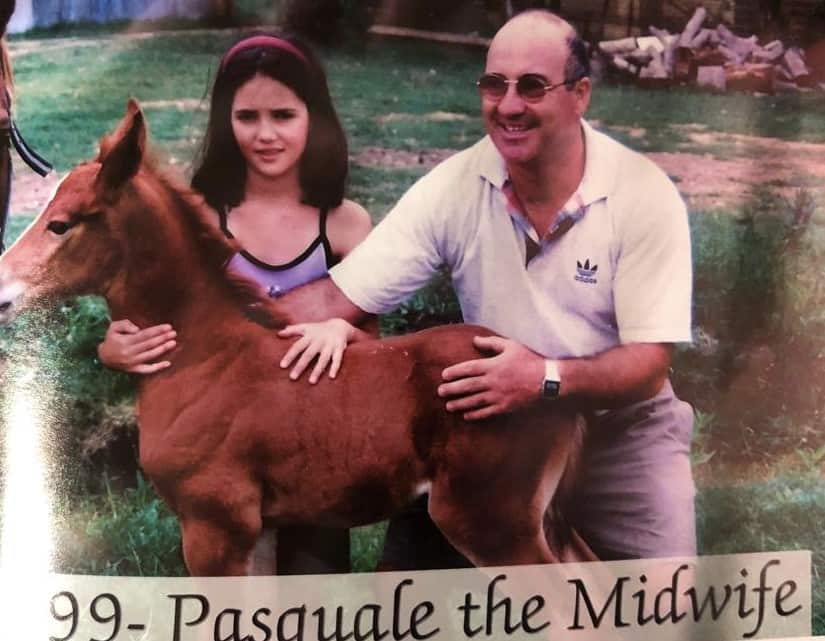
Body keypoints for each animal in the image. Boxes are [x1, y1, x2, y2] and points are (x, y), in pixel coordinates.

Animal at [0, 100, 593, 575]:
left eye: (61, 223)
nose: (2, 290)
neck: (204, 359)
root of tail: (545, 378)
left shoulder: (214, 527)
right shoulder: (258, 530)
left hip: (491, 522)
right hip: (541, 523)